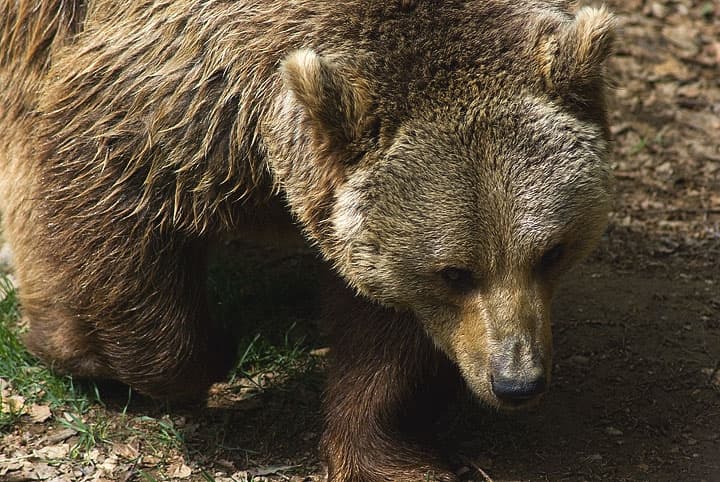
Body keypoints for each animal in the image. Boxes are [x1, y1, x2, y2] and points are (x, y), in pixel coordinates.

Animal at [1, 0, 612, 478]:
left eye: (552, 252)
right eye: (455, 272)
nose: (517, 382)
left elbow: (384, 327)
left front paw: (392, 455)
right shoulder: (187, 87)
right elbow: (104, 175)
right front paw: (192, 356)